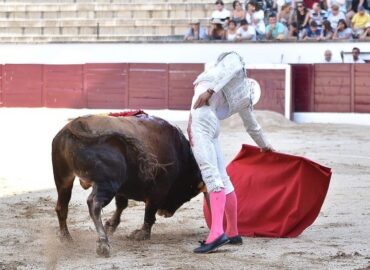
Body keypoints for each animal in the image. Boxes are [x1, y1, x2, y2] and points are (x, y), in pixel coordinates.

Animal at [51, 114, 205, 258]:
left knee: (62, 206)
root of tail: (77, 123)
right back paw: (103, 243)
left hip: (64, 179)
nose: (165, 213)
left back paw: (66, 238)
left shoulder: (122, 189)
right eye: (188, 193)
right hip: (107, 183)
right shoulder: (158, 190)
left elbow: (121, 205)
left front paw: (111, 225)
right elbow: (149, 212)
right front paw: (142, 234)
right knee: (94, 204)